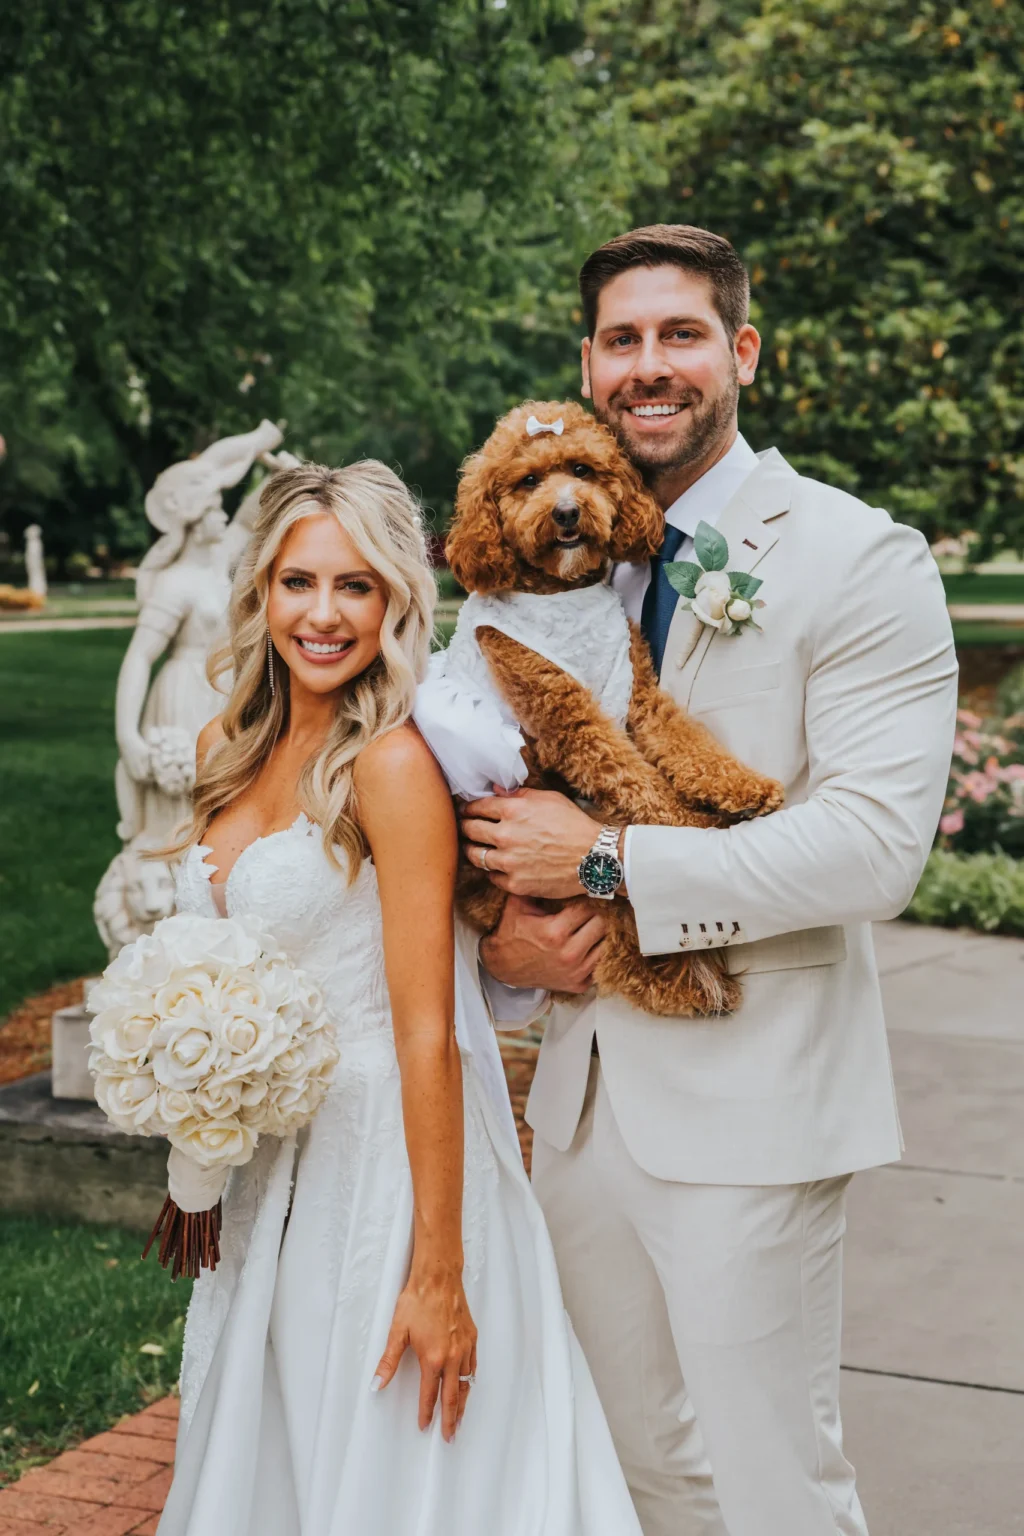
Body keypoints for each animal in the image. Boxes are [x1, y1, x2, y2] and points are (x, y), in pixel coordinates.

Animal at [445, 402, 779, 1013]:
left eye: (582, 469)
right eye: (528, 480)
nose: (567, 512)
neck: (561, 592)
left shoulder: (636, 694)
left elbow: (684, 743)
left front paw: (742, 788)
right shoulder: (569, 718)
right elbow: (639, 783)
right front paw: (695, 826)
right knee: (617, 942)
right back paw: (685, 985)